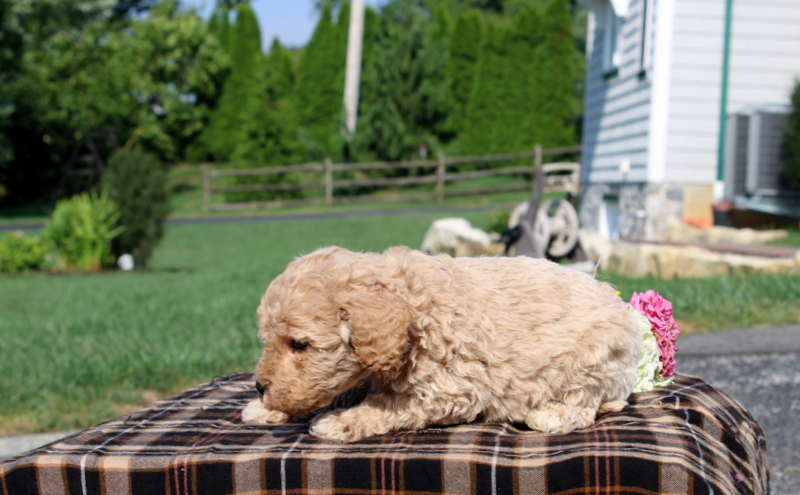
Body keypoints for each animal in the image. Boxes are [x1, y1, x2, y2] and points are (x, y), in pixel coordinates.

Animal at [241, 246, 640, 444]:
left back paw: (549, 414)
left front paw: (340, 421)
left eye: (300, 345)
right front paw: (265, 409)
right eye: (269, 340)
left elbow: (387, 405)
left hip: (591, 360)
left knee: (585, 407)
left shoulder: (448, 391)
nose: (260, 385)